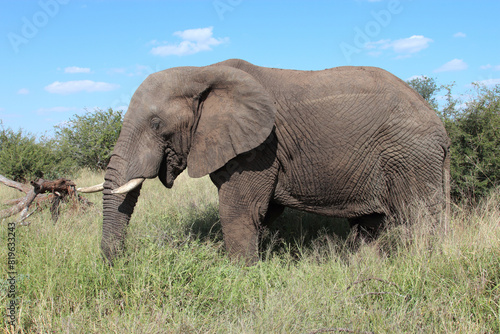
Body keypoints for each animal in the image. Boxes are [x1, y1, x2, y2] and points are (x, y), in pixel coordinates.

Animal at [81, 58, 450, 264]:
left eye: (157, 124)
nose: (117, 265)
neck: (202, 72)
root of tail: (441, 126)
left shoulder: (260, 148)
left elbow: (240, 210)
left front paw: (239, 275)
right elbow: (264, 212)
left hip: (410, 156)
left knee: (418, 217)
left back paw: (419, 265)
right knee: (369, 223)